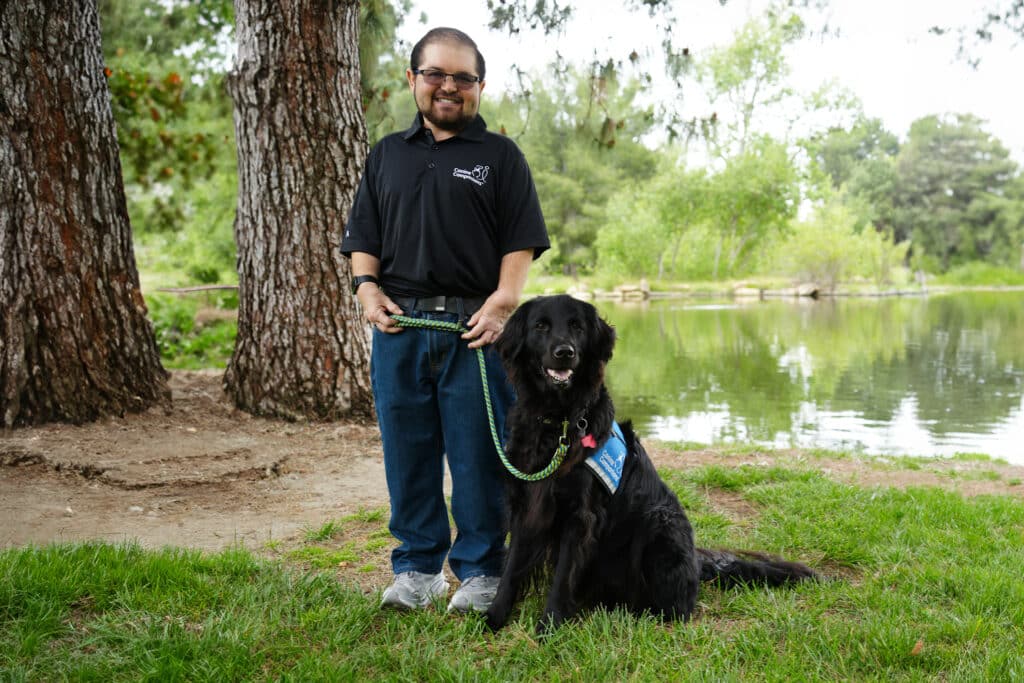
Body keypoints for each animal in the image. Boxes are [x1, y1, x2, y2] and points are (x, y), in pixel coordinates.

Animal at [485, 294, 815, 634]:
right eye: (540, 326)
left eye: (577, 326)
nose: (565, 353)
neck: (559, 422)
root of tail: (695, 560)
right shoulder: (527, 503)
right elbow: (511, 569)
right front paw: (493, 618)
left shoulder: (580, 515)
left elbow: (562, 578)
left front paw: (548, 628)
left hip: (661, 523)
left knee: (680, 605)